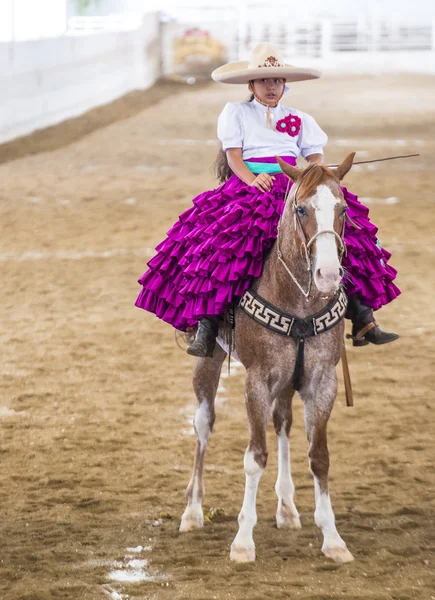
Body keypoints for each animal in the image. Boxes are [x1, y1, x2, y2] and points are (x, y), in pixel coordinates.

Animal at [179, 152, 356, 564]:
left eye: (342, 209)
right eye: (301, 208)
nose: (328, 274)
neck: (298, 302)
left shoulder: (321, 381)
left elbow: (319, 456)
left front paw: (333, 539)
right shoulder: (256, 381)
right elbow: (254, 456)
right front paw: (243, 542)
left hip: (289, 382)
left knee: (283, 422)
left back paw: (287, 509)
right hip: (208, 363)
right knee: (203, 424)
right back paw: (193, 511)